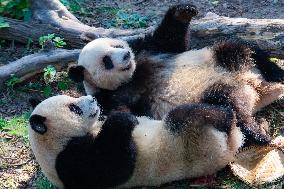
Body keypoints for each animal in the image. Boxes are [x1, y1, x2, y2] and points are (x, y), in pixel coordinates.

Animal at [28, 95, 244, 188]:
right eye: (74, 108)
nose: (92, 99)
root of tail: (233, 141)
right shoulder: (69, 163)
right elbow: (114, 167)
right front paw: (123, 120)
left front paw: (117, 111)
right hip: (197, 141)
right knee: (190, 114)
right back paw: (228, 116)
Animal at [67, 37, 284, 146]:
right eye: (107, 61)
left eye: (117, 45)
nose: (126, 55)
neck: (131, 77)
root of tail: (253, 85)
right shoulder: (110, 98)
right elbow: (123, 115)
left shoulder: (152, 51)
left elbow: (170, 39)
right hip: (210, 93)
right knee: (229, 103)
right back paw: (259, 133)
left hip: (222, 59)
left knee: (242, 49)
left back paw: (278, 73)